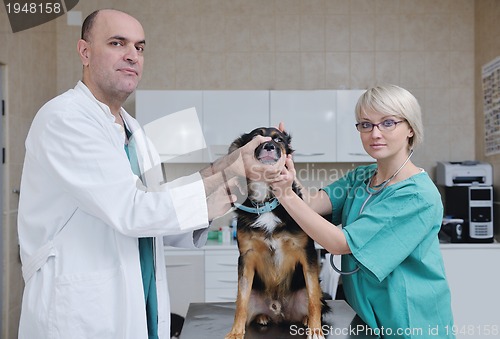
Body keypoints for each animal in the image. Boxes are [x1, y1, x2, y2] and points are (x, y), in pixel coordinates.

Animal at [226, 127, 328, 339]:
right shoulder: (246, 257)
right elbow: (241, 302)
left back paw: (306, 320)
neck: (266, 200)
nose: (269, 146)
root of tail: (279, 311)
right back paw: (262, 317)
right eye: (256, 137)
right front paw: (235, 332)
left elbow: (313, 297)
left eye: (279, 139)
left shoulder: (307, 253)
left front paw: (315, 330)